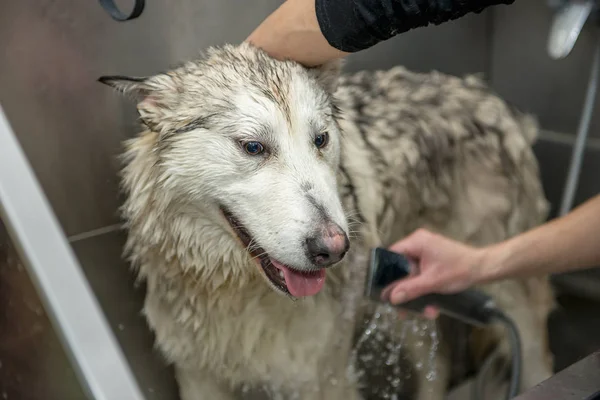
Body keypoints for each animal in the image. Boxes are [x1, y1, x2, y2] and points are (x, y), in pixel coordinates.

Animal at [101, 42, 556, 398]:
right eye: (253, 147)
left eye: (320, 140)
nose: (333, 249)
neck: (231, 290)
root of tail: (493, 99)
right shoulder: (197, 375)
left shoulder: (322, 376)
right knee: (439, 363)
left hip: (500, 288)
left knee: (536, 352)